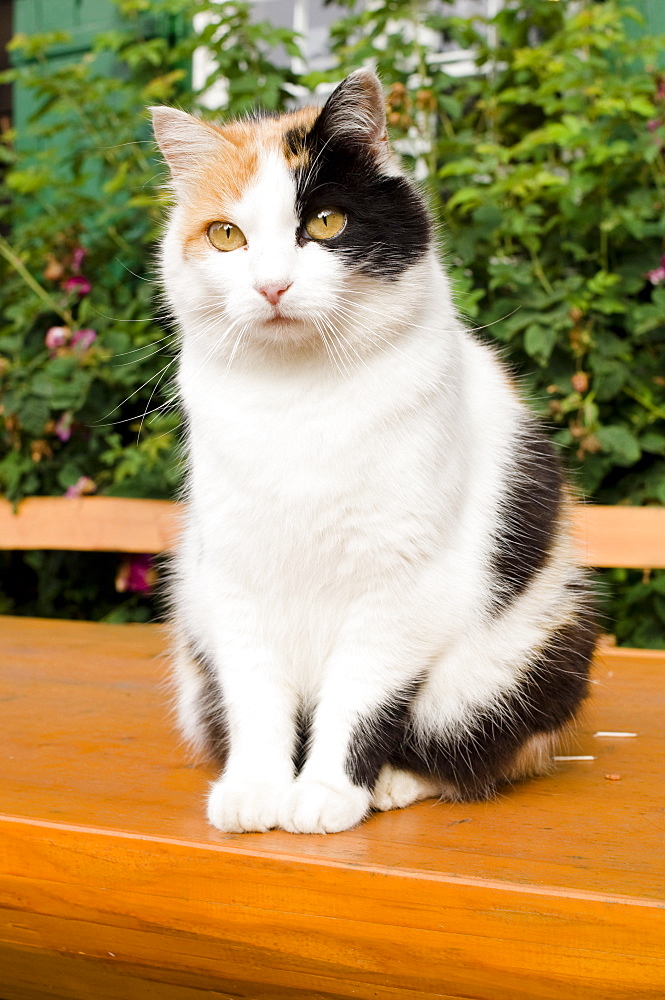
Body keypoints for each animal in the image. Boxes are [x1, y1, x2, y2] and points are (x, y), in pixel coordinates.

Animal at [152, 66, 596, 836]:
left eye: (325, 222)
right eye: (226, 235)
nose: (271, 285)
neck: (297, 402)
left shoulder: (400, 579)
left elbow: (361, 696)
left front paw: (326, 792)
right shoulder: (234, 575)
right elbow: (255, 694)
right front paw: (256, 789)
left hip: (525, 653)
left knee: (478, 749)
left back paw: (392, 782)